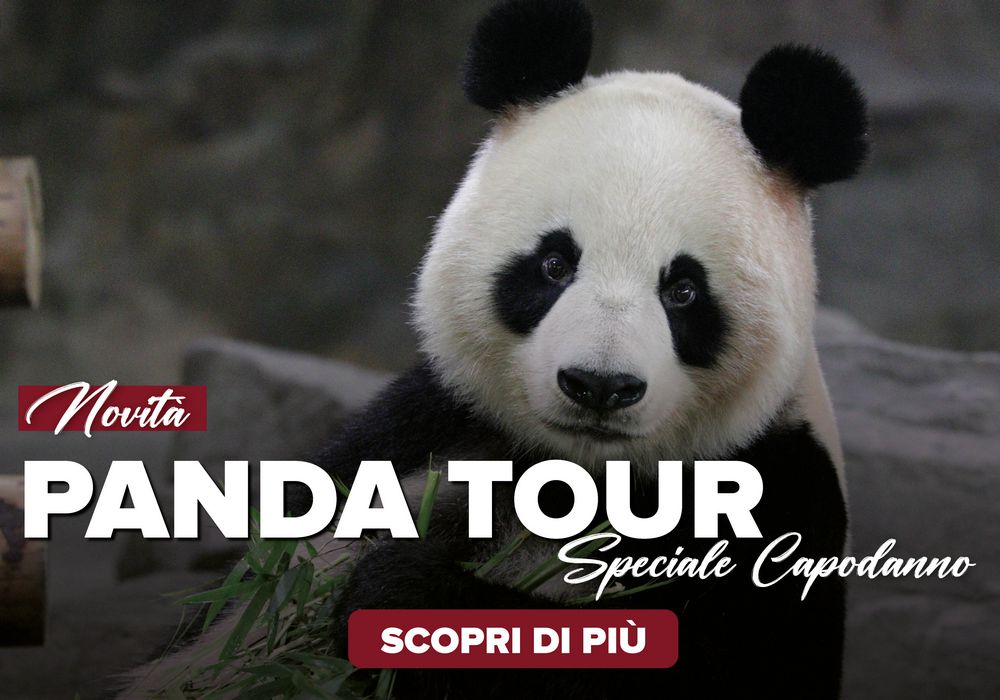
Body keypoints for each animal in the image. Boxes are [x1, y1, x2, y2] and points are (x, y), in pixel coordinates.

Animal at [123, 0, 868, 697]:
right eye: (554, 265)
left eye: (683, 290)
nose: (598, 385)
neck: (581, 471)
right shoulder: (424, 429)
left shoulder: (775, 497)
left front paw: (402, 598)